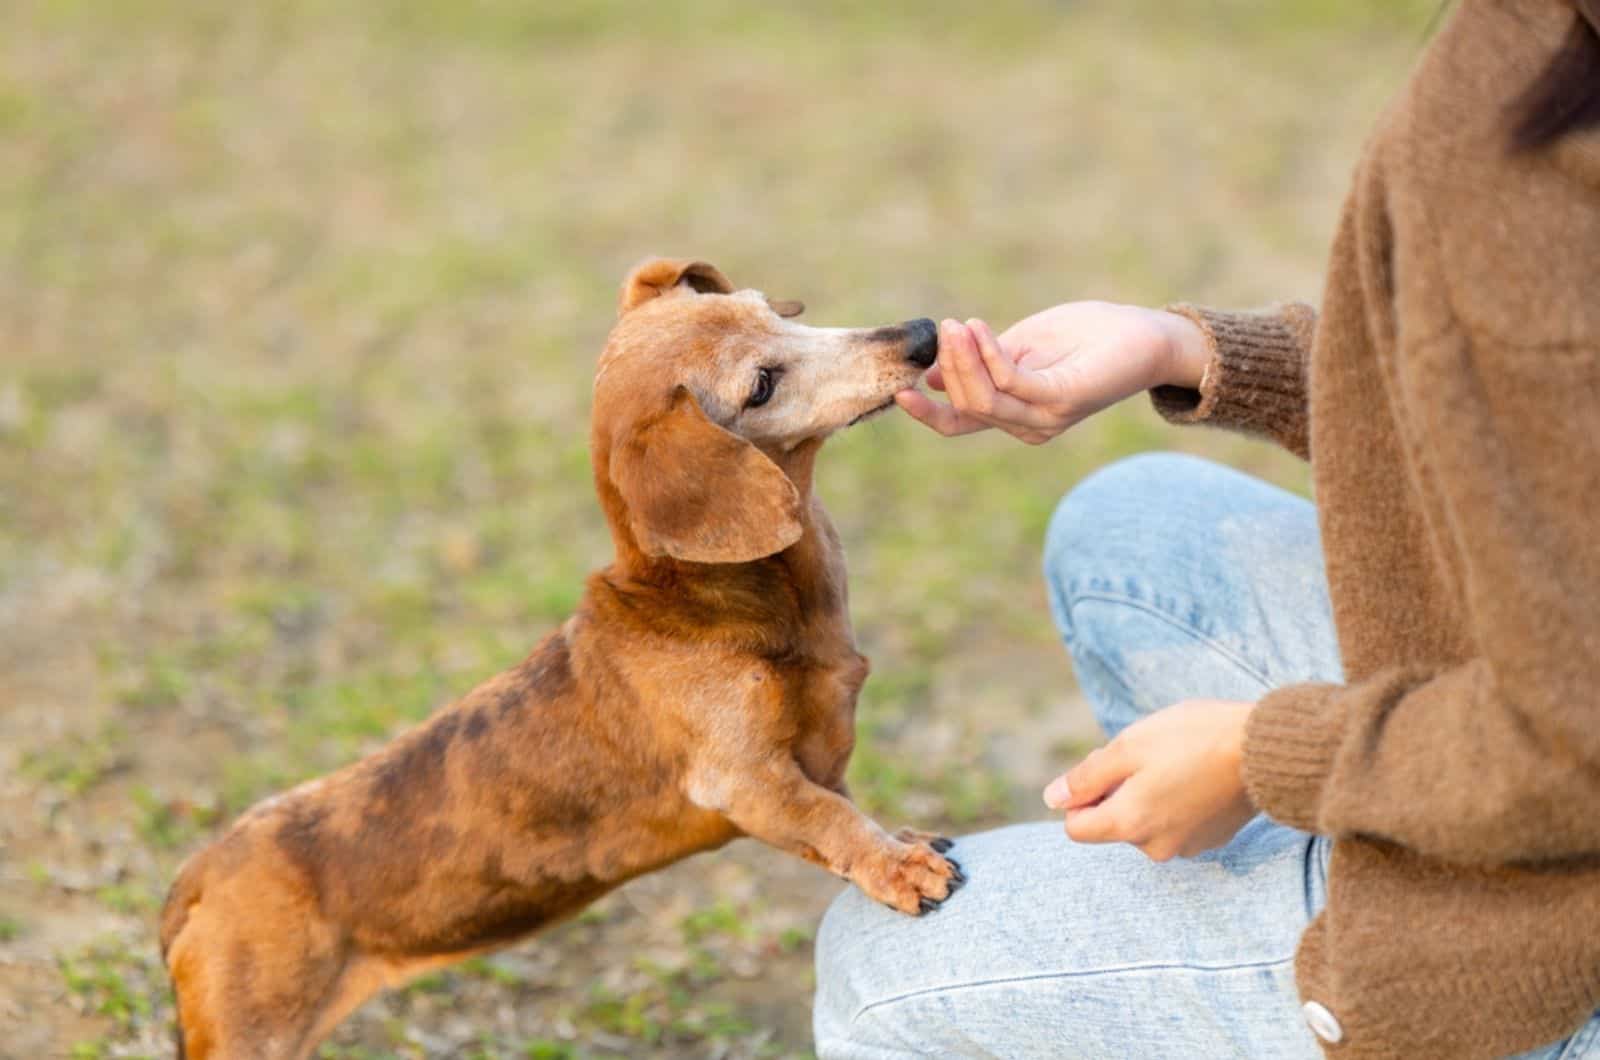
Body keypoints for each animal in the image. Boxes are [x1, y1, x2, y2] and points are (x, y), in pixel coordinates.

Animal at [159, 259, 960, 1060]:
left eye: (771, 310)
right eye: (760, 384)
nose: (923, 335)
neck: (721, 599)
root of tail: (200, 875)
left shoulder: (815, 753)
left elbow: (844, 802)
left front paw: (902, 841)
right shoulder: (748, 781)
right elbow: (829, 818)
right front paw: (897, 867)